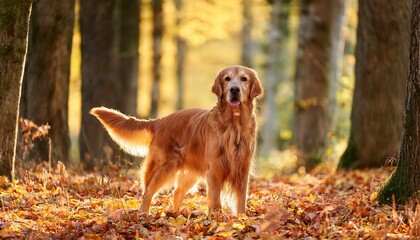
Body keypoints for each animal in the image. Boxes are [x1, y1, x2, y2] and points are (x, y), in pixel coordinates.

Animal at [91, 64, 262, 215]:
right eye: (227, 79)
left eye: (244, 79)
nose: (234, 89)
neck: (234, 125)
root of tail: (159, 121)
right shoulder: (214, 170)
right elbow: (215, 202)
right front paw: (216, 220)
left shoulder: (242, 170)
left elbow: (241, 202)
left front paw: (241, 219)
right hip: (165, 166)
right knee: (148, 192)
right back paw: (144, 215)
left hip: (189, 172)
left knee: (177, 193)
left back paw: (176, 215)